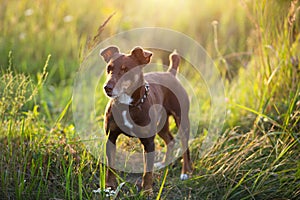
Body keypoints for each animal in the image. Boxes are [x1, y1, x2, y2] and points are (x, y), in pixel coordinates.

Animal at [100, 45, 192, 194]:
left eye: (126, 70)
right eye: (109, 68)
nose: (107, 87)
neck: (127, 105)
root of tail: (170, 73)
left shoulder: (149, 142)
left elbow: (147, 171)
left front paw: (147, 190)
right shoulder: (111, 137)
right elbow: (111, 167)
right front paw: (110, 187)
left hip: (182, 121)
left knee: (185, 146)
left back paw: (186, 172)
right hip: (161, 124)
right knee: (170, 140)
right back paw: (164, 163)